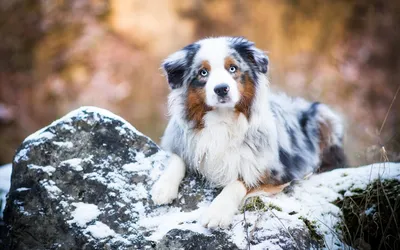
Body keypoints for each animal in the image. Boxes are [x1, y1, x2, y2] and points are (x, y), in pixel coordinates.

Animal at [152, 36, 346, 229]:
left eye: (232, 68)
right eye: (203, 72)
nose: (221, 89)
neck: (222, 119)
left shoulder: (275, 172)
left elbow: (239, 181)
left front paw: (217, 212)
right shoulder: (183, 140)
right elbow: (177, 158)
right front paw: (163, 187)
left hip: (324, 116)